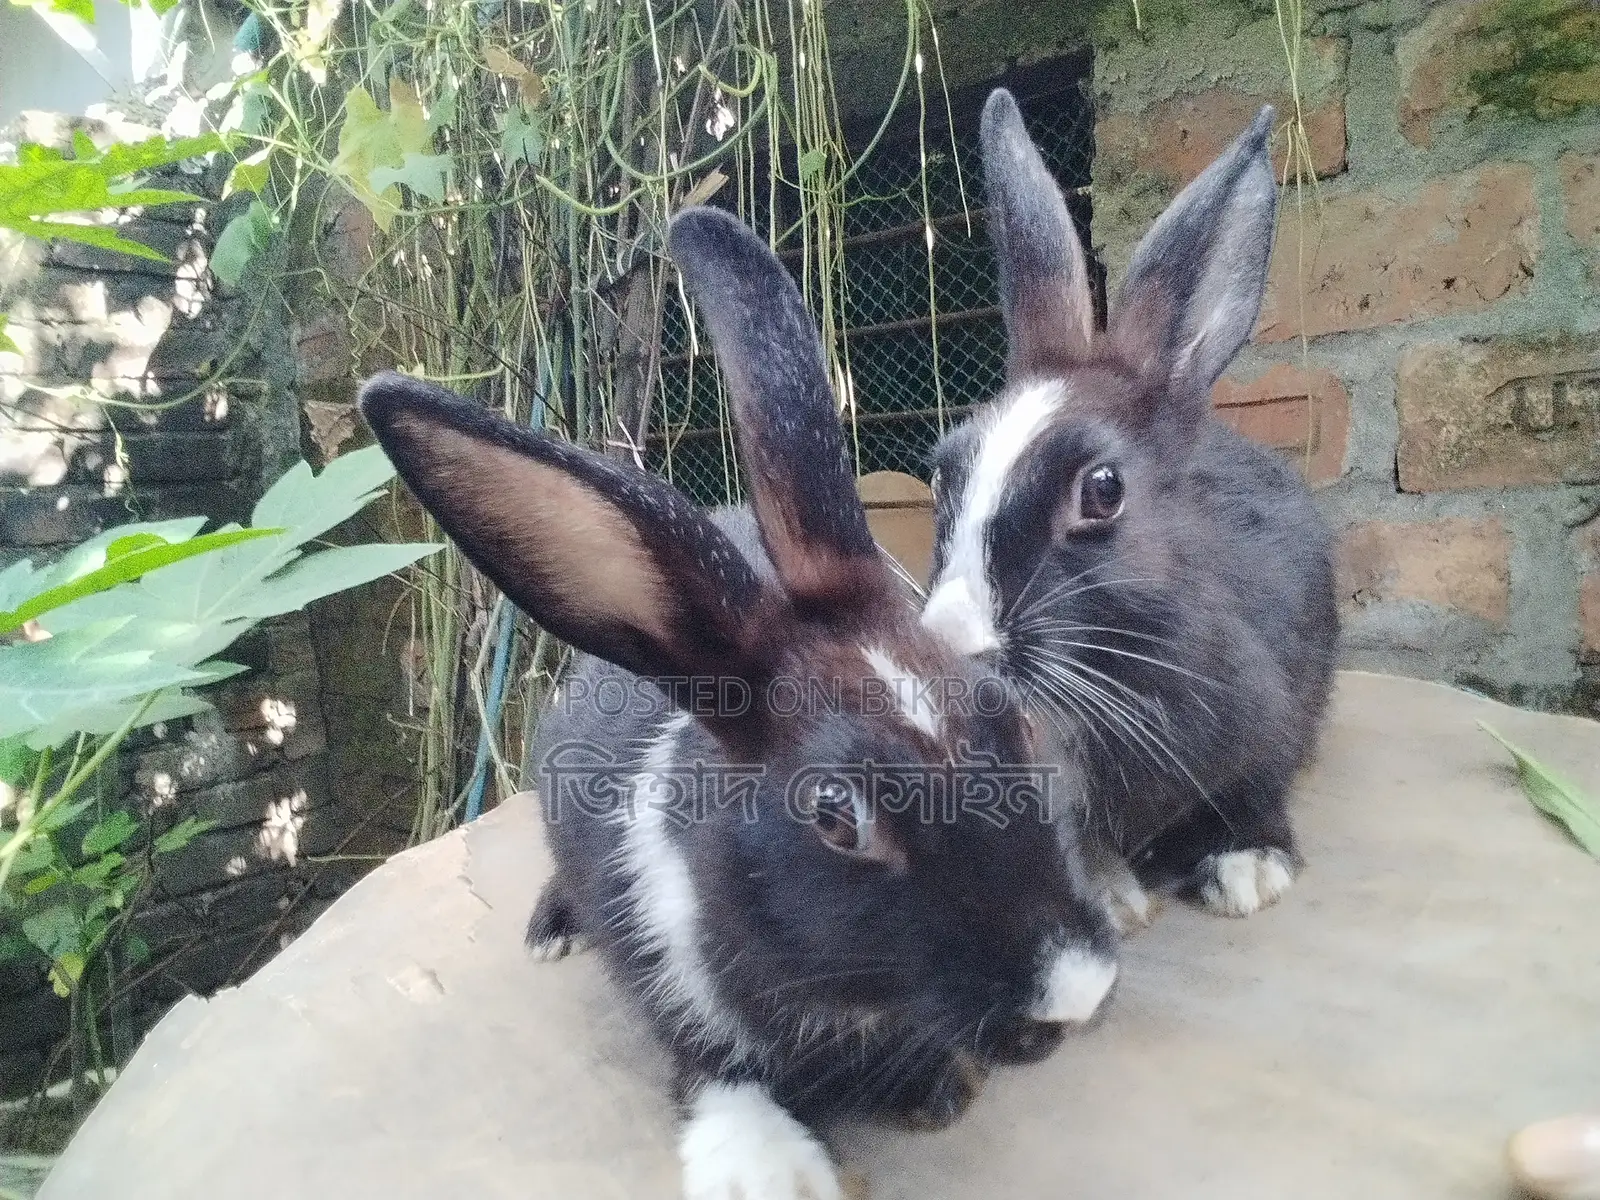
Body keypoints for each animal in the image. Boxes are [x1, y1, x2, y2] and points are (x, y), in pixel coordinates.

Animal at [357, 205, 1119, 1200]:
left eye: (1009, 719)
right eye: (836, 817)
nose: (1079, 991)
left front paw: (933, 1089)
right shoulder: (677, 996)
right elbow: (712, 1077)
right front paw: (771, 1170)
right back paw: (551, 930)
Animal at [920, 88, 1340, 928]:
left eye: (1103, 490)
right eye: (942, 476)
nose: (950, 643)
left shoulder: (1270, 717)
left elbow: (1257, 789)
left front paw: (1247, 869)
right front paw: (1107, 893)